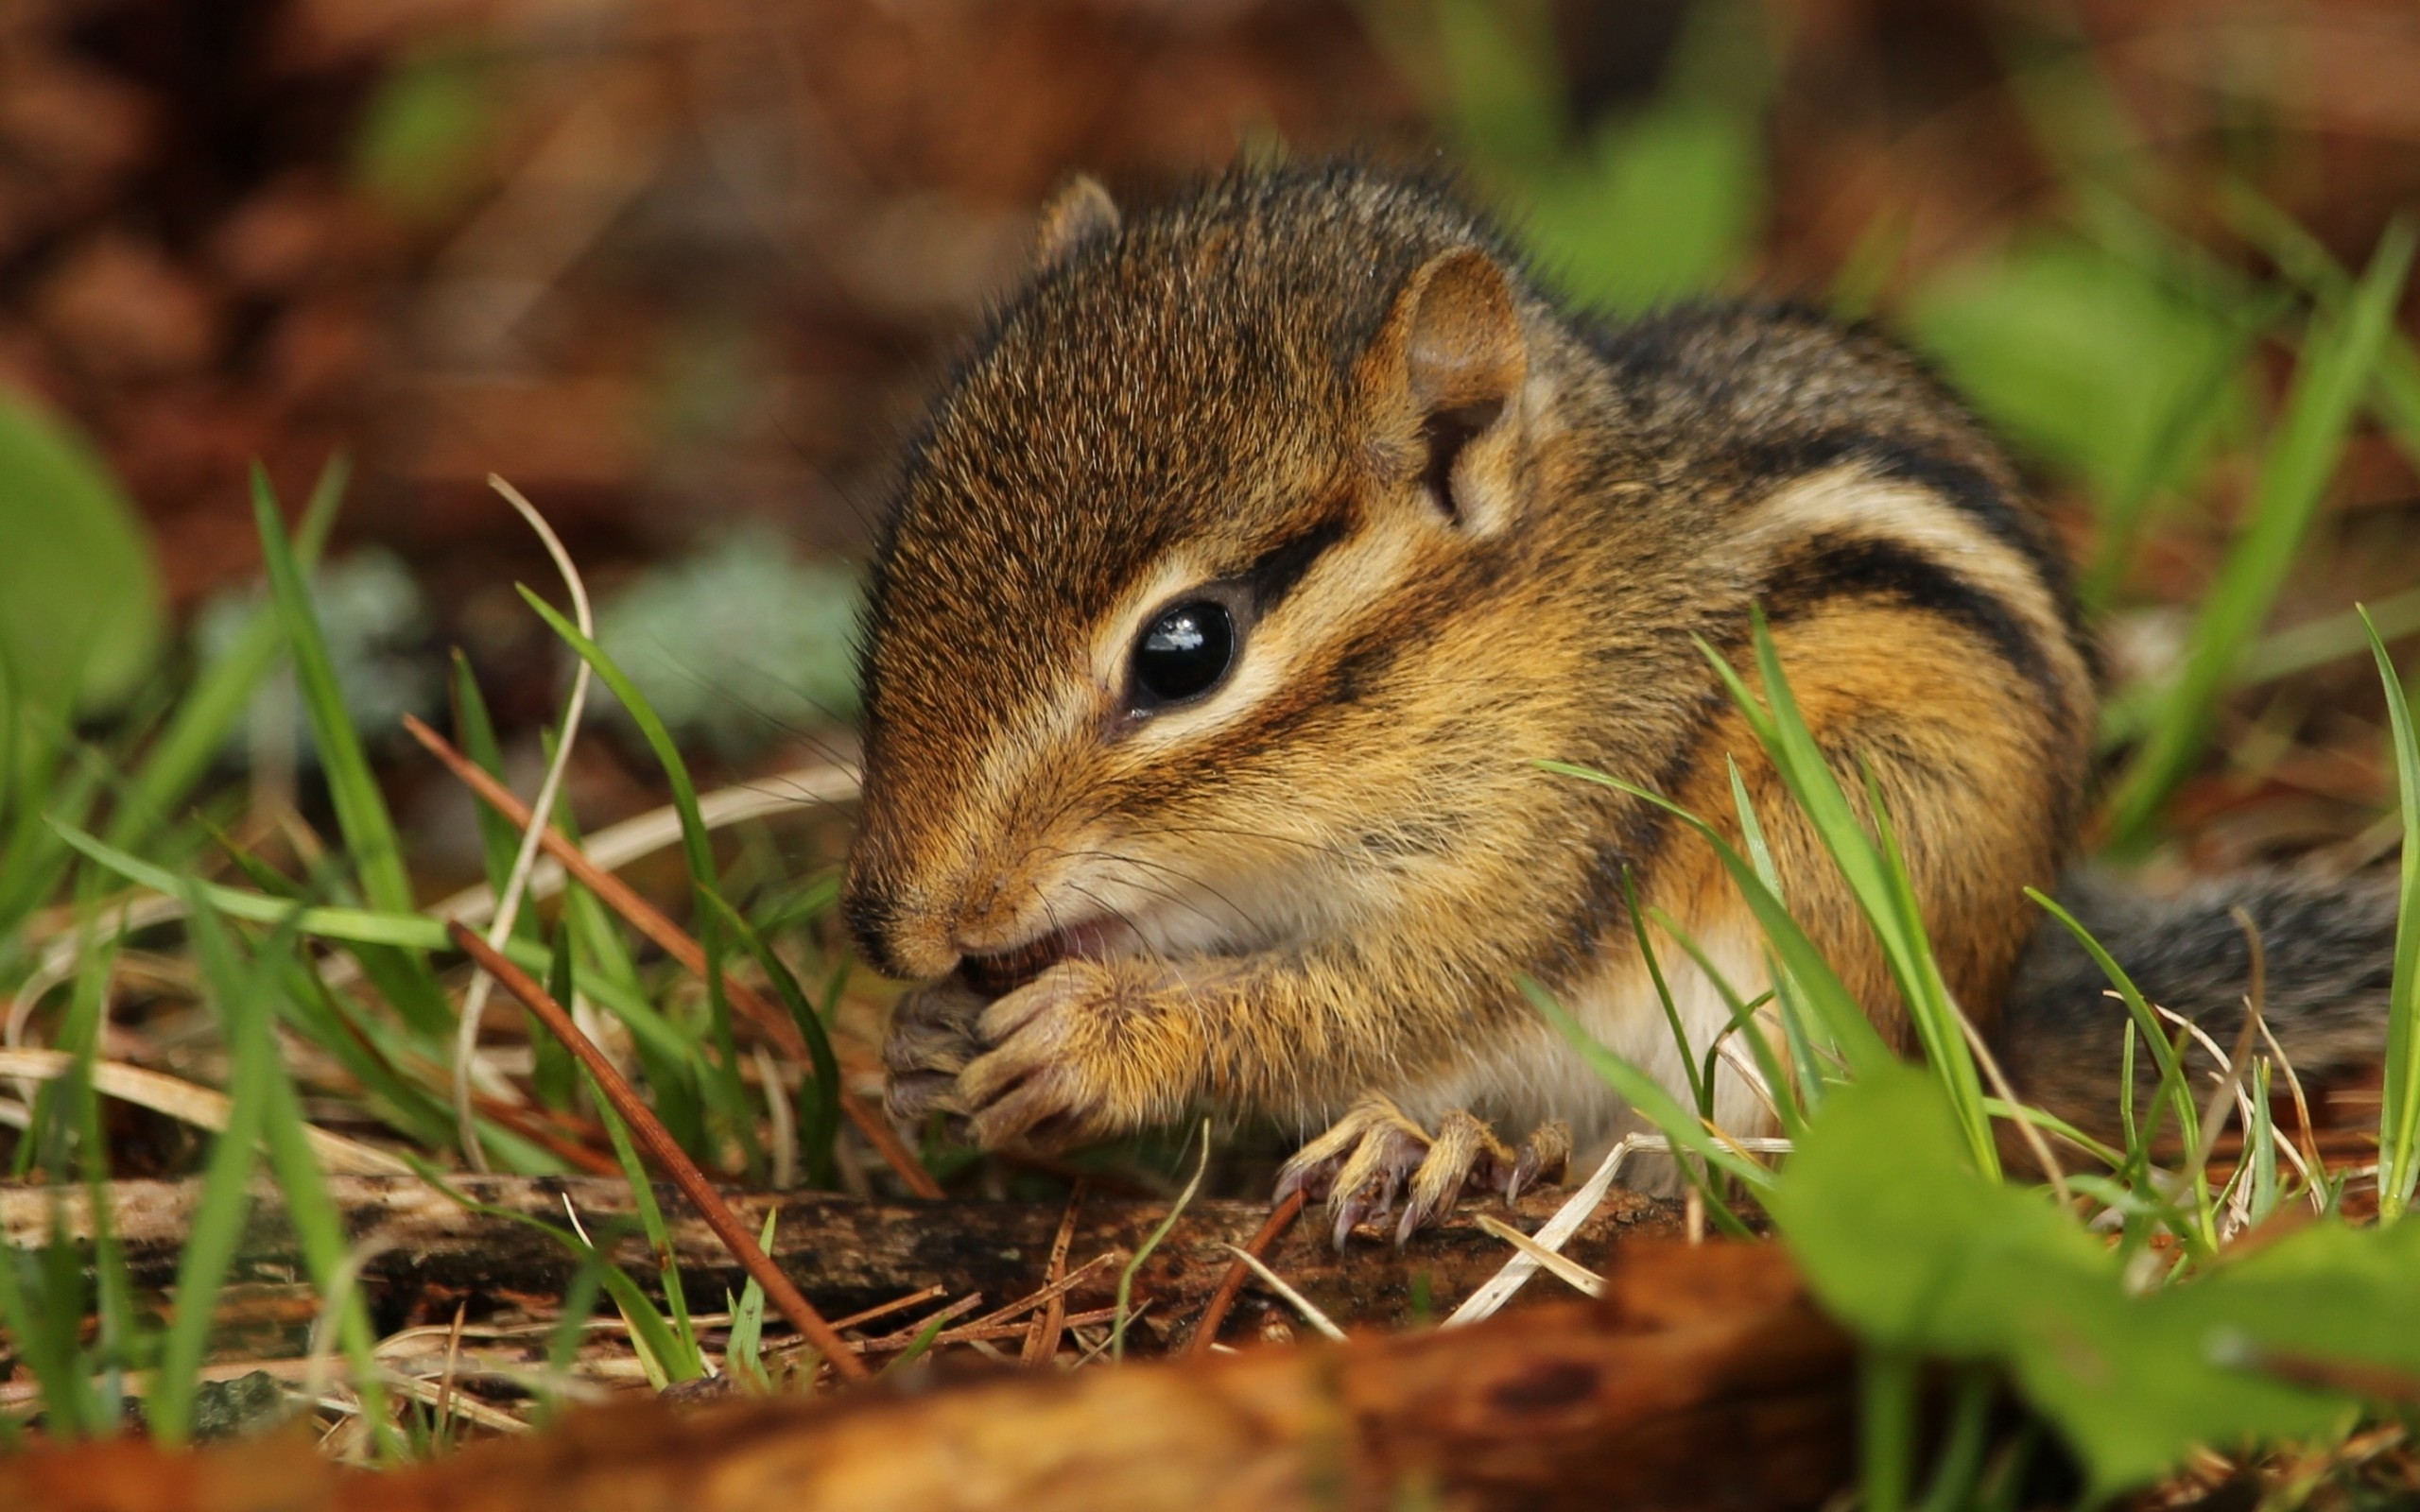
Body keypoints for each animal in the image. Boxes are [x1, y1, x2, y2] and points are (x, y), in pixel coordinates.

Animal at [841, 163, 2397, 1240]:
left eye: (1185, 651)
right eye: (897, 550)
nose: (889, 927)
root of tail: (1993, 1024)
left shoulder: (1564, 829)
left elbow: (1386, 995)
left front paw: (1107, 1037)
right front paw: (920, 1045)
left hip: (1829, 904)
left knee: (1741, 1153)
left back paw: (1469, 1148)